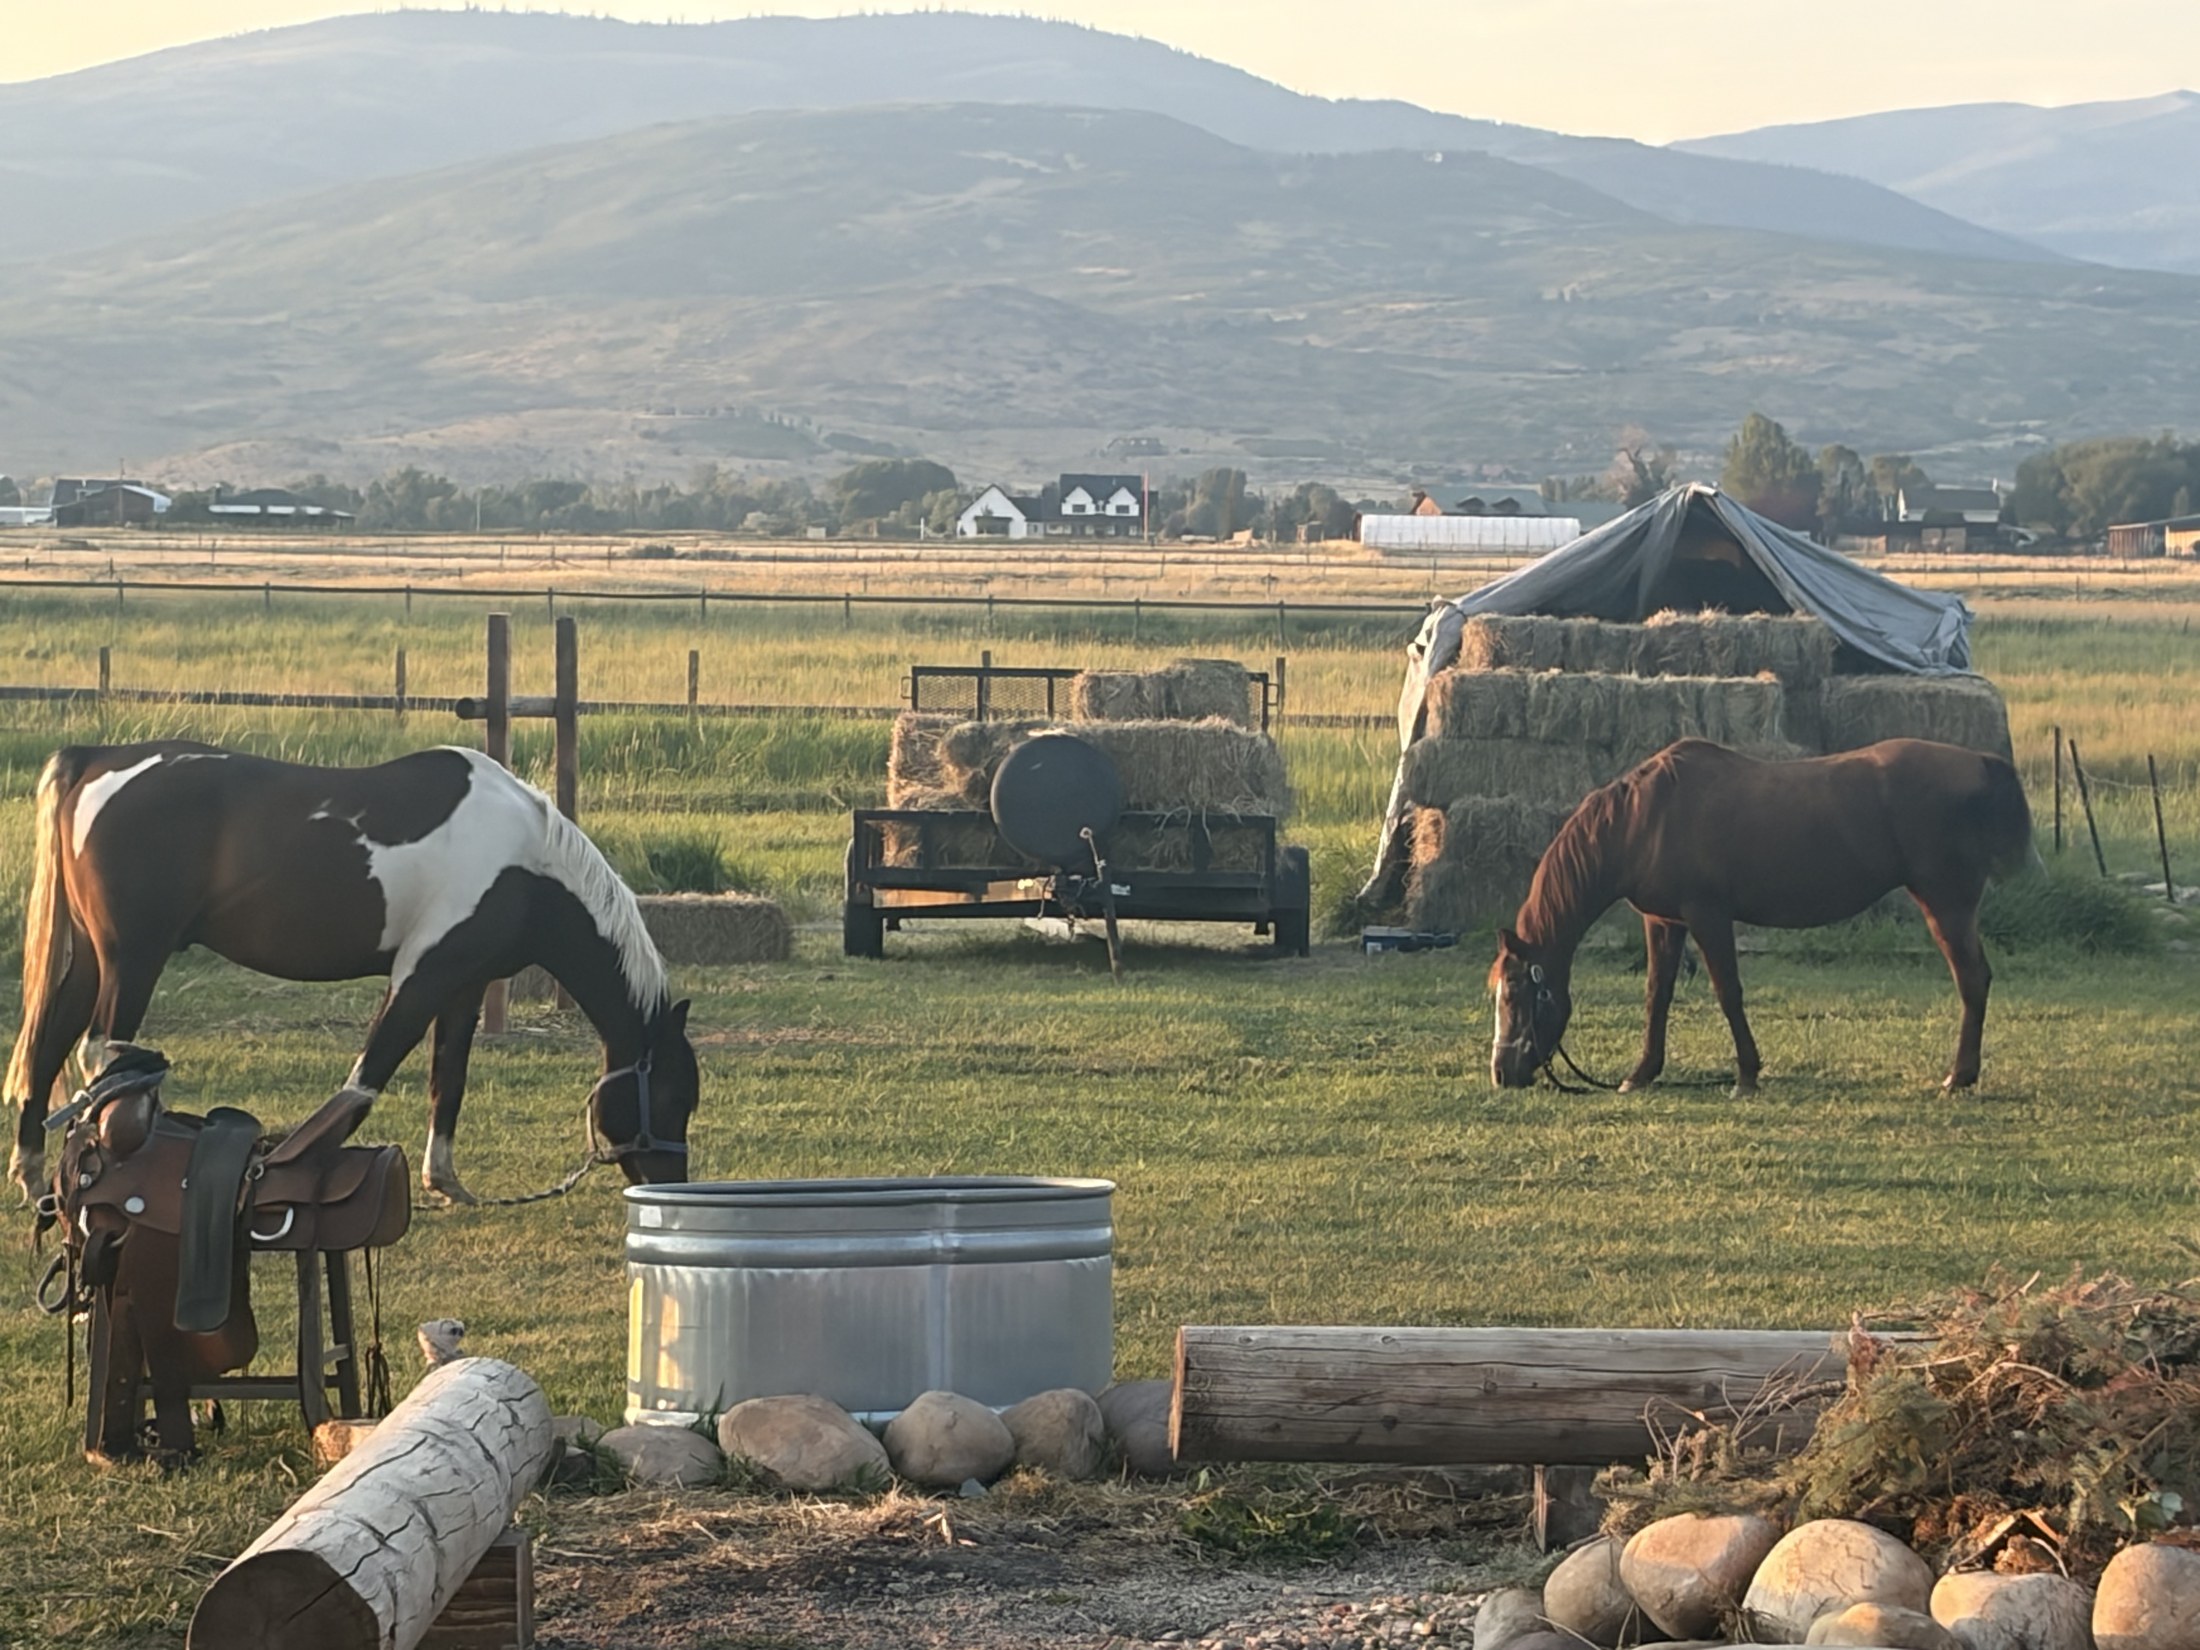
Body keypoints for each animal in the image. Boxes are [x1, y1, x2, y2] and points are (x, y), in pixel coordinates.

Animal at [8, 741, 699, 1205]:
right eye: (673, 1097)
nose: (674, 1184)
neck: (528, 861)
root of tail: (98, 761)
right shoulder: (422, 975)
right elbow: (368, 1077)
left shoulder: (464, 984)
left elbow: (448, 1079)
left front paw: (445, 1183)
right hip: (133, 959)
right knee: (102, 1055)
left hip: (93, 960)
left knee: (49, 1047)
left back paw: (35, 1177)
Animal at [1487, 738, 2035, 1098]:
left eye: (1514, 992)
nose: (1501, 1072)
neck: (1643, 821)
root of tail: (1982, 763)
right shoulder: (1664, 922)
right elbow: (1656, 996)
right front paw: (1641, 1074)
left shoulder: (1707, 916)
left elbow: (1727, 992)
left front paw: (1746, 1076)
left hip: (1946, 905)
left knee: (1972, 981)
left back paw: (1958, 1077)